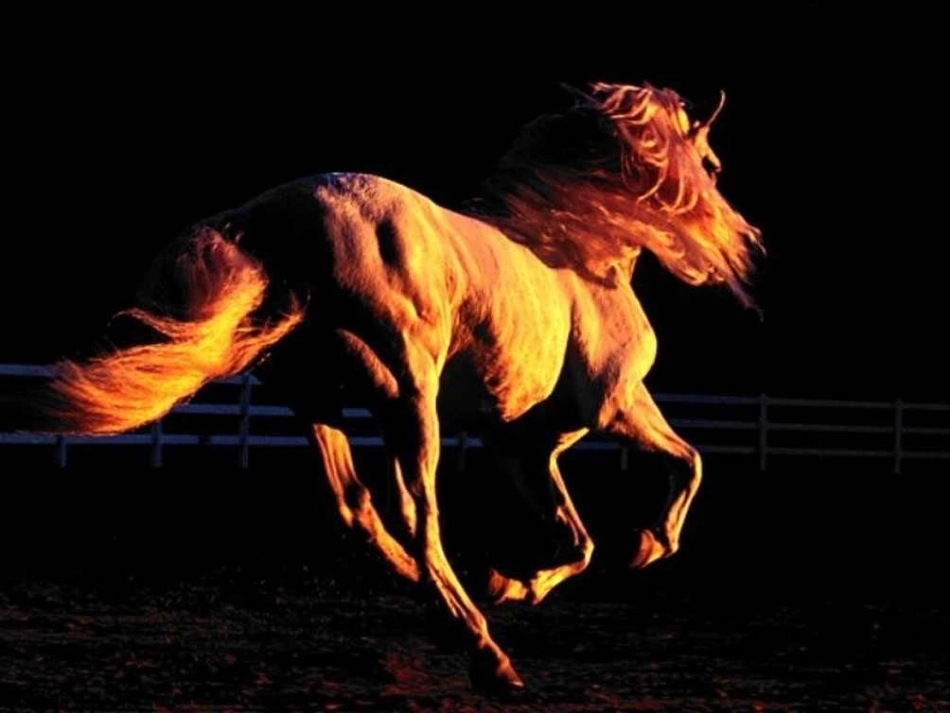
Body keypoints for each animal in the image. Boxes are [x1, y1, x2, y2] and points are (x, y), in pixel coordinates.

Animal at [18, 81, 761, 691]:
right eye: (714, 166)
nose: (735, 228)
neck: (582, 251)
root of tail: (278, 216)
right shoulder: (610, 409)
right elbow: (687, 465)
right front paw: (643, 546)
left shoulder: (525, 446)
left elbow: (576, 538)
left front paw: (512, 582)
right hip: (406, 394)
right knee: (416, 512)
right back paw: (482, 649)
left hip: (316, 396)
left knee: (354, 506)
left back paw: (439, 601)